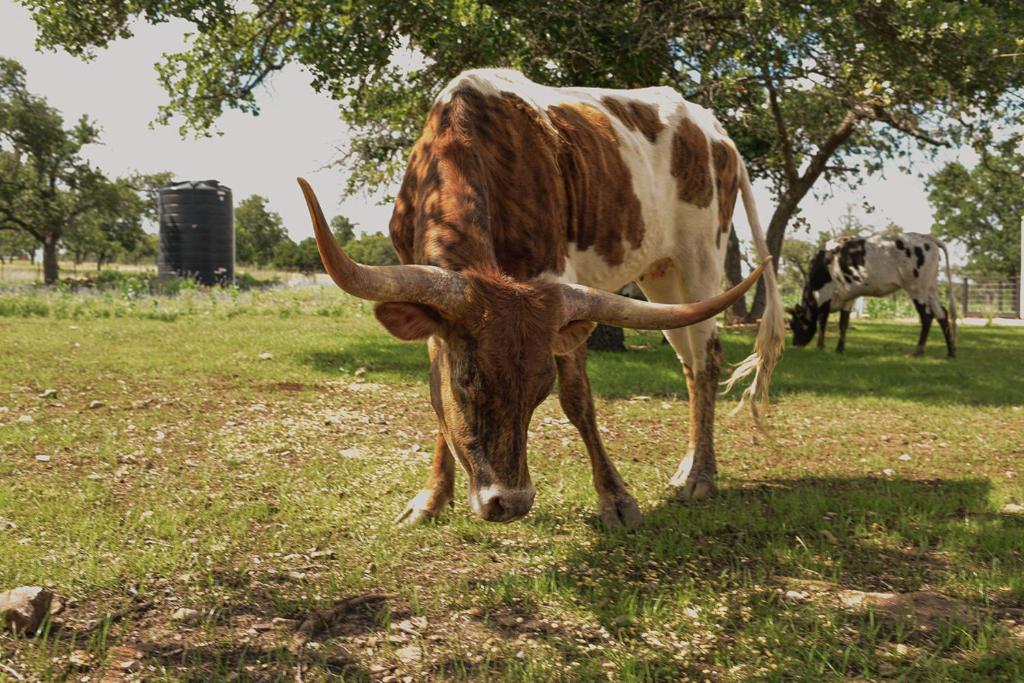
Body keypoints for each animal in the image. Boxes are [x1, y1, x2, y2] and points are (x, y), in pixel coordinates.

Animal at [299, 69, 778, 528]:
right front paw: (432, 498)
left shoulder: (559, 282)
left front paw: (616, 499)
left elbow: (578, 399)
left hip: (701, 260)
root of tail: (712, 126)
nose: (510, 503)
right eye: (467, 380)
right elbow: (437, 389)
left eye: (541, 387)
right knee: (689, 362)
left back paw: (701, 475)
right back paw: (687, 467)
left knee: (707, 358)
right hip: (660, 281)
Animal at [786, 235, 954, 358]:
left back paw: (918, 351)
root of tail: (927, 237)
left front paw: (820, 347)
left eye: (796, 325)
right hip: (931, 289)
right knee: (942, 314)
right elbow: (843, 323)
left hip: (916, 288)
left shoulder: (824, 296)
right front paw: (840, 349)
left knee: (926, 316)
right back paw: (951, 352)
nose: (794, 345)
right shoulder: (848, 297)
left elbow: (822, 323)